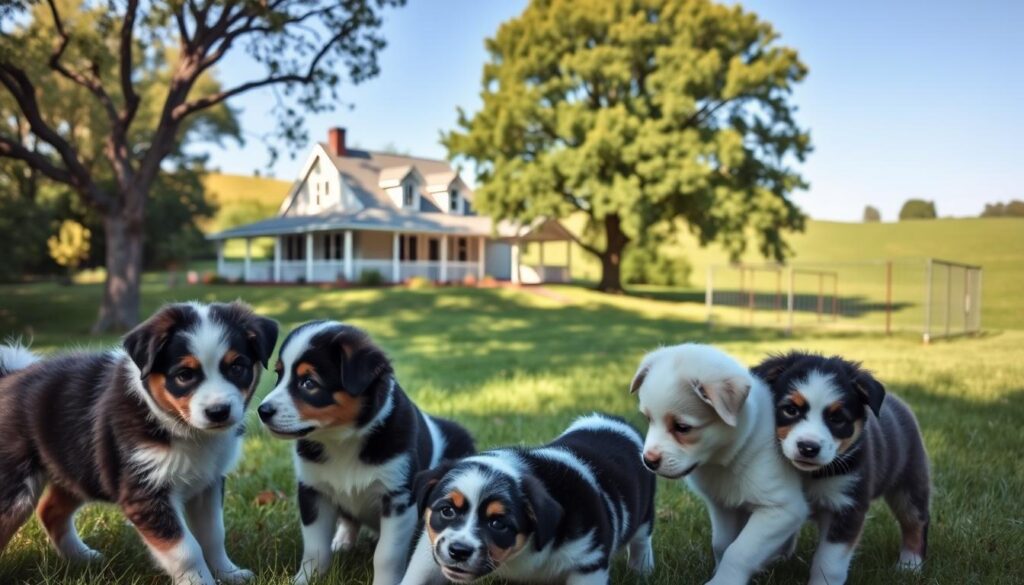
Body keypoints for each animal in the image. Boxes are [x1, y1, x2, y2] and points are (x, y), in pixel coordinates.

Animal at [0, 301, 278, 585]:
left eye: (237, 368)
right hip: (15, 489)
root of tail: (11, 375)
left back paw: (83, 558)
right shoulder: (144, 491)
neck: (183, 430)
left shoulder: (208, 483)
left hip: (77, 469)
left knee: (50, 511)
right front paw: (201, 581)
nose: (218, 411)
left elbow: (213, 535)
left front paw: (229, 573)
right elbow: (186, 550)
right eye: (184, 375)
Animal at [258, 319, 477, 585]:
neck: (342, 440)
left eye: (308, 382)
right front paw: (304, 579)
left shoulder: (398, 497)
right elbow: (315, 548)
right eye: (279, 374)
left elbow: (386, 554)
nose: (262, 411)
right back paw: (342, 541)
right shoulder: (312, 489)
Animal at [395, 413, 651, 585]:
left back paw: (642, 569)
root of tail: (614, 422)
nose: (459, 551)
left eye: (497, 523)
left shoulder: (589, 562)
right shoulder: (430, 550)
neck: (520, 555)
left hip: (645, 514)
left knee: (641, 539)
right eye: (447, 511)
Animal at [630, 344, 806, 585]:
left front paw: (723, 580)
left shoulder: (782, 509)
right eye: (648, 419)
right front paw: (718, 570)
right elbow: (721, 543)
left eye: (682, 427)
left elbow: (740, 551)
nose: (648, 461)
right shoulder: (722, 505)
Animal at [749, 352, 933, 585]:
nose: (808, 448)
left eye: (836, 418)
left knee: (916, 522)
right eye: (791, 410)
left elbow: (829, 562)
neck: (809, 476)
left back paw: (909, 566)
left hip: (909, 483)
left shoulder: (847, 506)